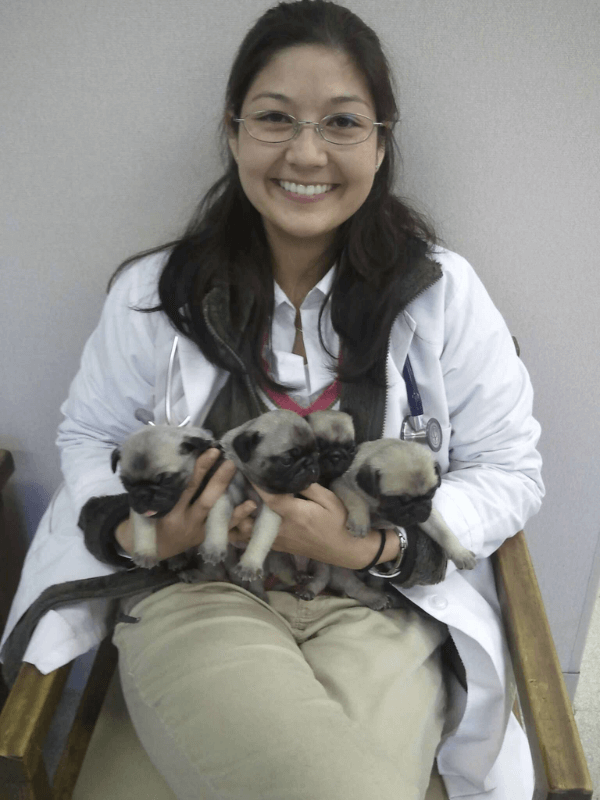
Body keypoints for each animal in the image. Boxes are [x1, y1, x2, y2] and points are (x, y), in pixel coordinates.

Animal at [197, 412, 322, 580]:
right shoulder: (225, 493)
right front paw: (214, 548)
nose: (310, 464)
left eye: (317, 454)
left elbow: (261, 537)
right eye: (287, 460)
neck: (252, 483)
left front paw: (250, 565)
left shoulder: (270, 512)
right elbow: (218, 518)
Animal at [330, 438, 476, 568]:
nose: (418, 509)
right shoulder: (340, 483)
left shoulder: (430, 515)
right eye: (399, 500)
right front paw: (360, 522)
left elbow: (444, 532)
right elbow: (356, 500)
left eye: (431, 494)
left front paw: (460, 553)